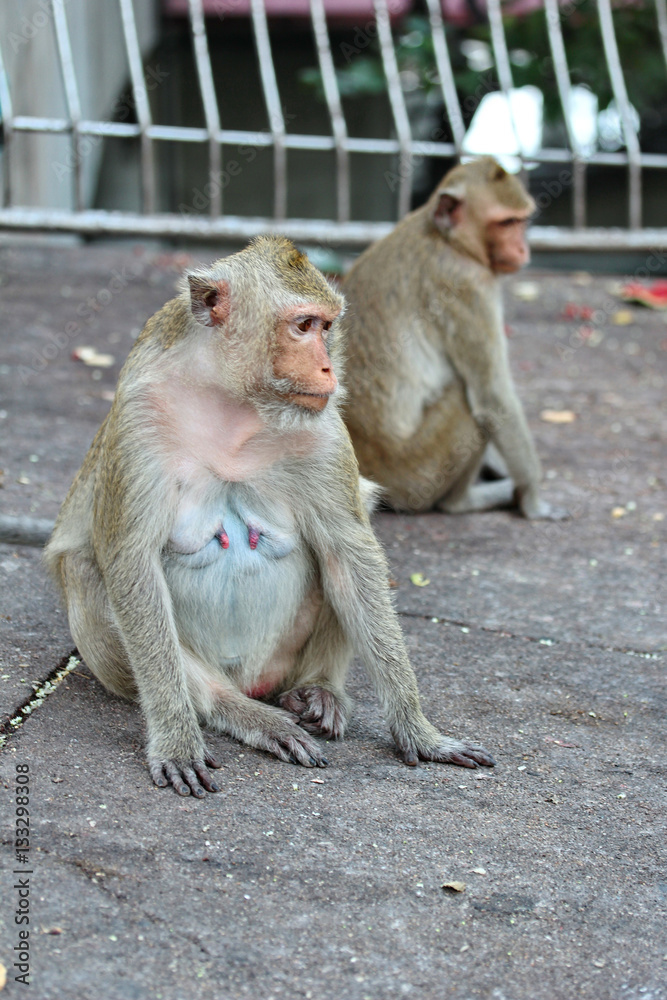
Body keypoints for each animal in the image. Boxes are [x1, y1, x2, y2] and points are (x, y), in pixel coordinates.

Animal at [42, 236, 494, 796]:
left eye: (327, 327)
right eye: (302, 325)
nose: (329, 370)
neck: (235, 402)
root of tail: (254, 681)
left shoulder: (323, 427)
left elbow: (349, 554)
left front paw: (419, 731)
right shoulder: (138, 417)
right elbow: (130, 565)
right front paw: (175, 737)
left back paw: (316, 690)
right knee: (87, 569)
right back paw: (239, 712)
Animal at [342, 156, 569, 520]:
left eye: (521, 221)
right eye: (506, 223)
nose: (523, 248)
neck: (447, 239)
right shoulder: (469, 285)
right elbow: (493, 397)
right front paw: (535, 501)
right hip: (417, 474)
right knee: (467, 398)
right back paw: (464, 501)